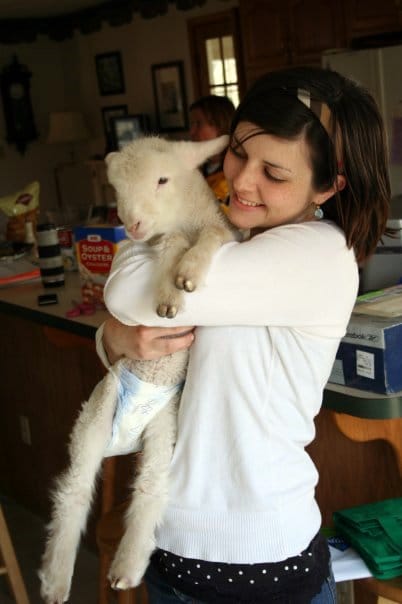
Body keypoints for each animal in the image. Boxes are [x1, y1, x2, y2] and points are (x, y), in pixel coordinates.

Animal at [38, 134, 236, 600]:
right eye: (115, 189)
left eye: (163, 179)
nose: (131, 225)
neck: (185, 219)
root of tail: (125, 439)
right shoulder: (160, 242)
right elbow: (169, 246)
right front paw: (168, 294)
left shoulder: (219, 229)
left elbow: (214, 234)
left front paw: (186, 277)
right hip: (95, 416)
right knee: (73, 493)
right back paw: (57, 581)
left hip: (164, 430)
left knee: (148, 490)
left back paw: (123, 568)